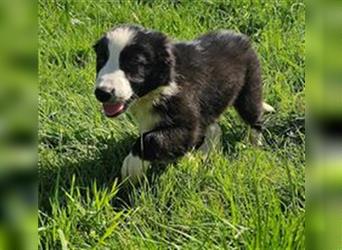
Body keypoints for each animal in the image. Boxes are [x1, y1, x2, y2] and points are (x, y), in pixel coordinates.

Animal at [92, 24, 274, 182]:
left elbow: (150, 139)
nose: (102, 93)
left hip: (249, 88)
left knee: (254, 118)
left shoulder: (187, 122)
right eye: (101, 59)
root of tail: (240, 36)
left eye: (134, 63)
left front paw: (132, 165)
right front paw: (190, 161)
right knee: (214, 128)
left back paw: (255, 146)